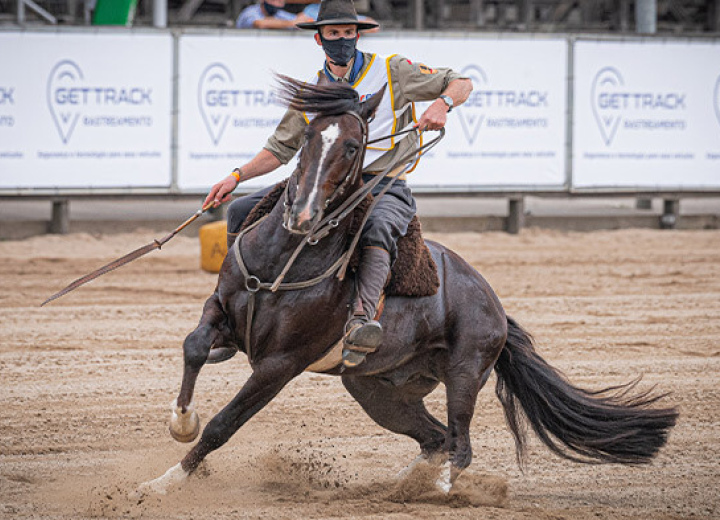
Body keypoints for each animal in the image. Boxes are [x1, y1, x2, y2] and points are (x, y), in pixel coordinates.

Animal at [138, 77, 676, 496]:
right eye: (309, 136)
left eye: (352, 146)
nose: (303, 213)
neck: (283, 258)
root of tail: (495, 305)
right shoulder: (220, 310)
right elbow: (193, 347)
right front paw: (180, 422)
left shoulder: (280, 365)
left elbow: (224, 424)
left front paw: (164, 483)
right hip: (377, 389)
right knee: (434, 438)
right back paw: (404, 486)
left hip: (464, 373)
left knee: (459, 444)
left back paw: (438, 489)